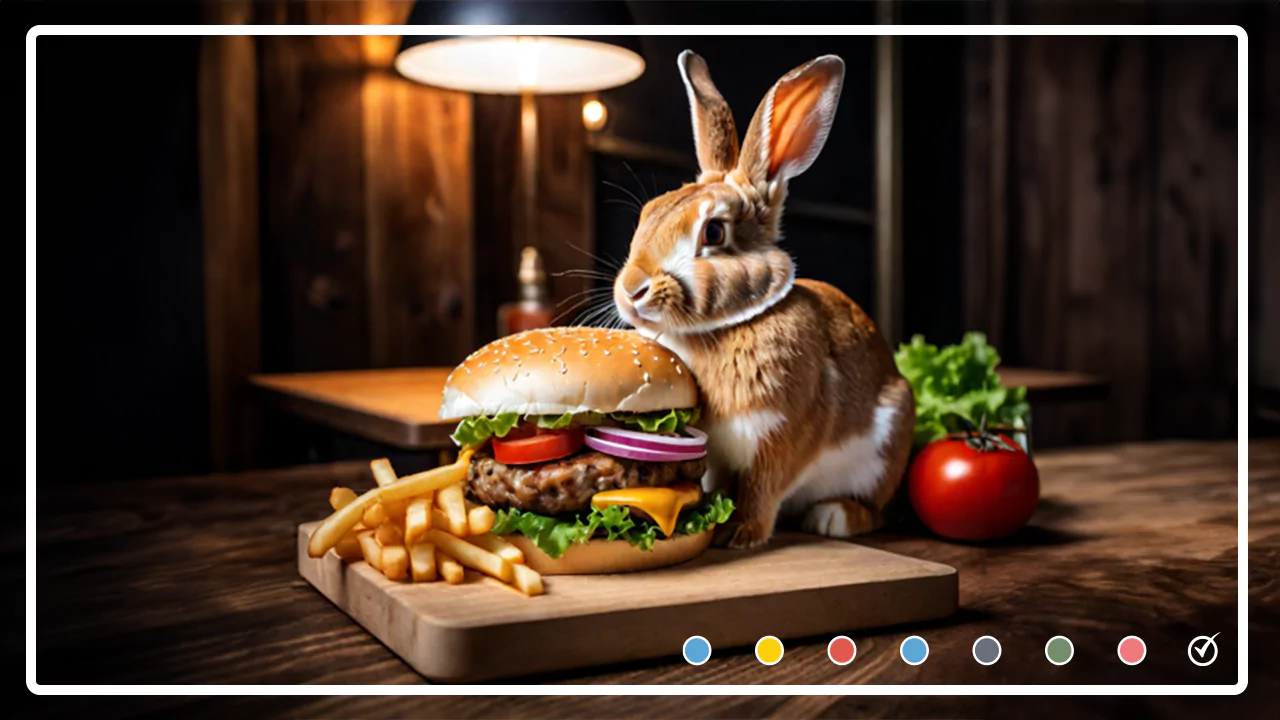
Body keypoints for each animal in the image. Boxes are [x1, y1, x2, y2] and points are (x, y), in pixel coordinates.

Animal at [609, 50, 911, 545]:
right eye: (650, 213)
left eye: (713, 232)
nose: (630, 290)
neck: (725, 327)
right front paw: (713, 518)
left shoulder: (781, 435)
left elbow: (762, 490)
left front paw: (739, 534)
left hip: (886, 450)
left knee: (875, 510)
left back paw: (833, 518)